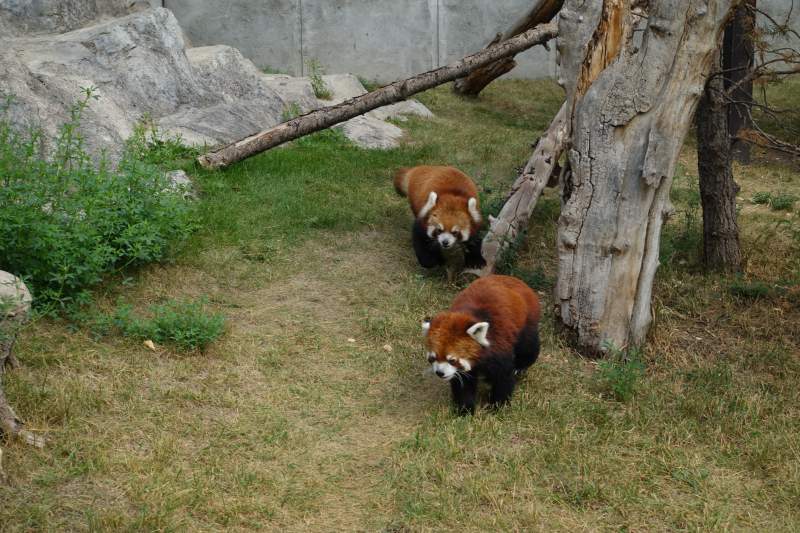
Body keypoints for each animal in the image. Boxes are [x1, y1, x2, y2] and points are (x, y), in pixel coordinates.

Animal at [422, 274, 540, 416]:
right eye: (432, 358)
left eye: (452, 360)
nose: (440, 373)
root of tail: (511, 278)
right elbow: (463, 384)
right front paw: (464, 410)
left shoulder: (498, 344)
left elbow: (503, 376)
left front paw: (497, 406)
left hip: (526, 320)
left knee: (528, 346)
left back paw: (520, 367)